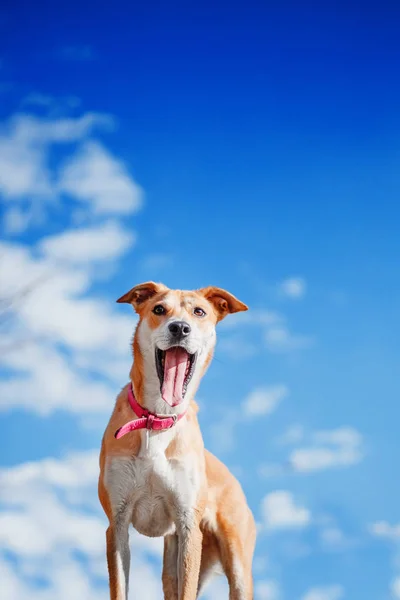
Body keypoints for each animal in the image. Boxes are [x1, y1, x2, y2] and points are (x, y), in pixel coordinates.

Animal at [98, 282, 258, 600]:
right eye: (159, 309)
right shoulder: (117, 524)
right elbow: (119, 587)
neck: (157, 420)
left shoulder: (187, 528)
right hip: (171, 565)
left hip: (235, 562)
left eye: (199, 312)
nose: (180, 328)